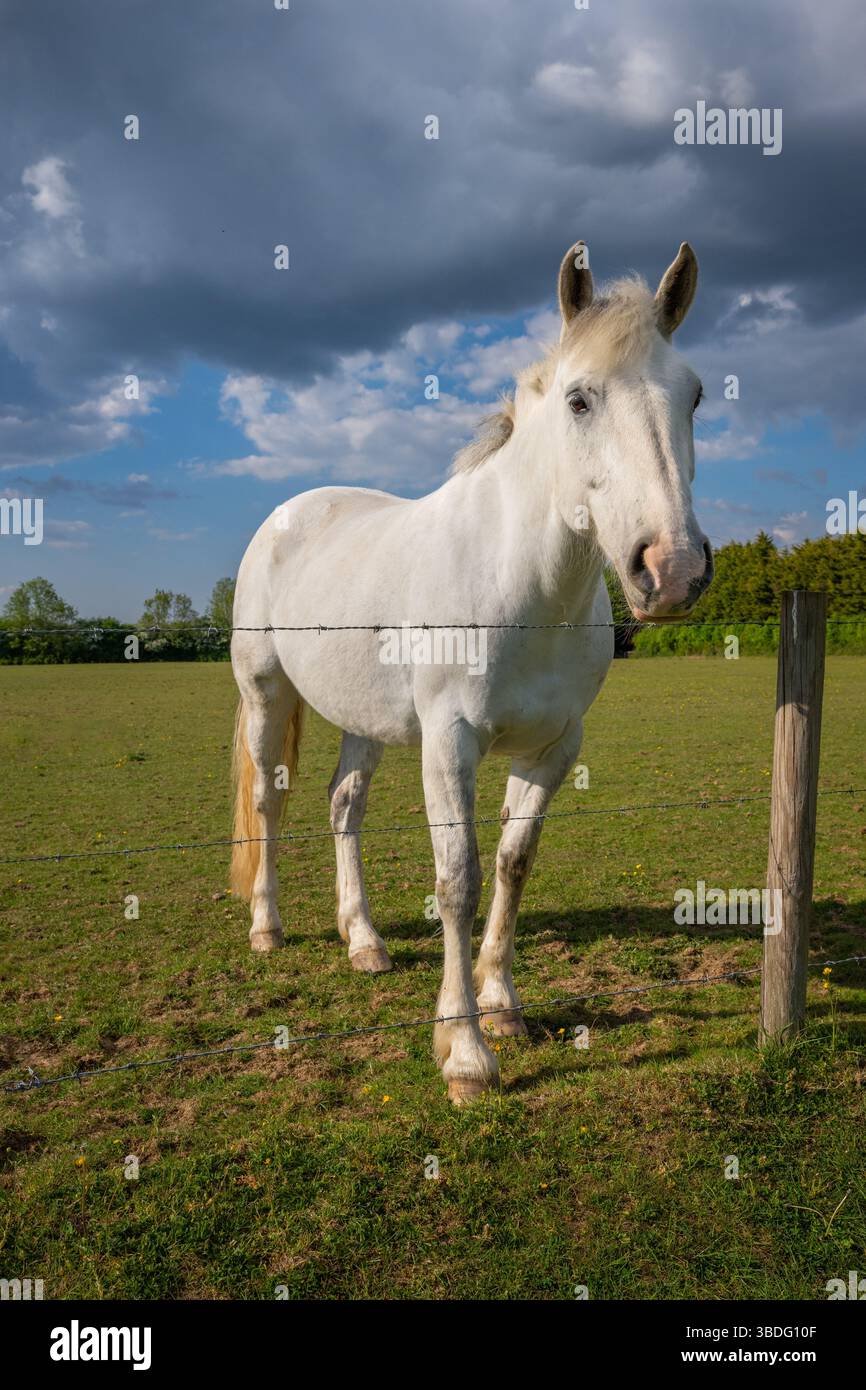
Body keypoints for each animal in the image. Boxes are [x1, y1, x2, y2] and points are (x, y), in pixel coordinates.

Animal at [229, 239, 713, 1102]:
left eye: (694, 396)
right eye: (580, 400)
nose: (672, 569)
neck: (524, 587)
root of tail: (289, 513)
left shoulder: (553, 747)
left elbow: (515, 866)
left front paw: (503, 1005)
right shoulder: (449, 741)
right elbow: (458, 877)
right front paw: (464, 1053)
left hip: (363, 720)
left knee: (343, 805)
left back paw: (364, 941)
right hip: (265, 696)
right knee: (269, 803)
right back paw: (268, 927)